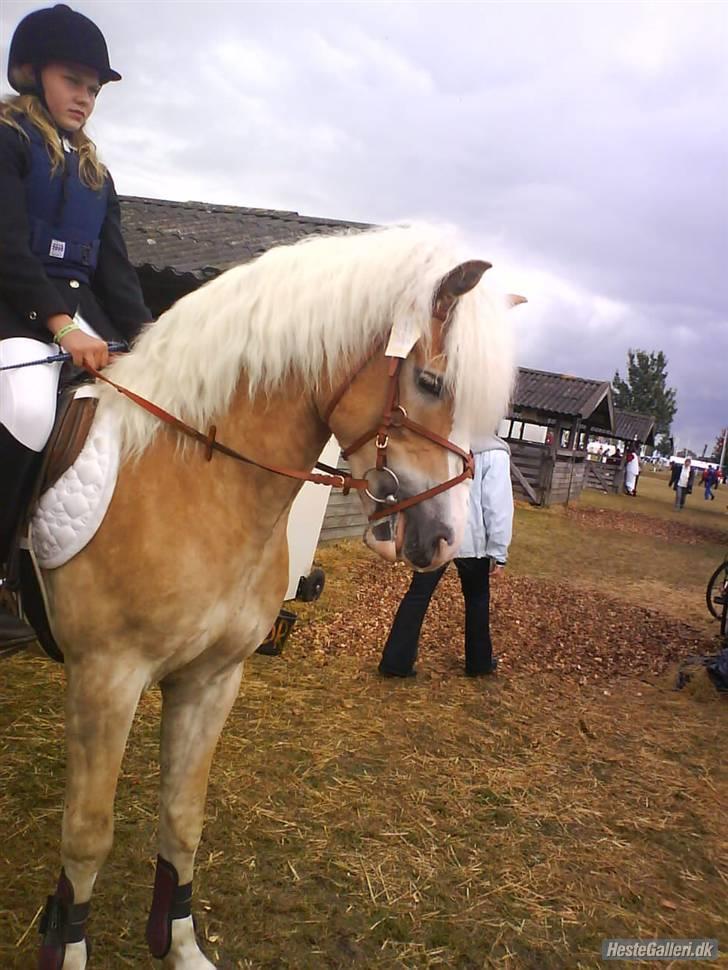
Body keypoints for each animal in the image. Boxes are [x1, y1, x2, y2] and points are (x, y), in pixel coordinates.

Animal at [32, 223, 512, 964]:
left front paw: (180, 946)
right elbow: (86, 834)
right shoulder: (105, 677)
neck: (196, 475)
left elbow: (183, 818)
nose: (440, 540)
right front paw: (69, 945)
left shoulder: (211, 680)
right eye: (431, 381)